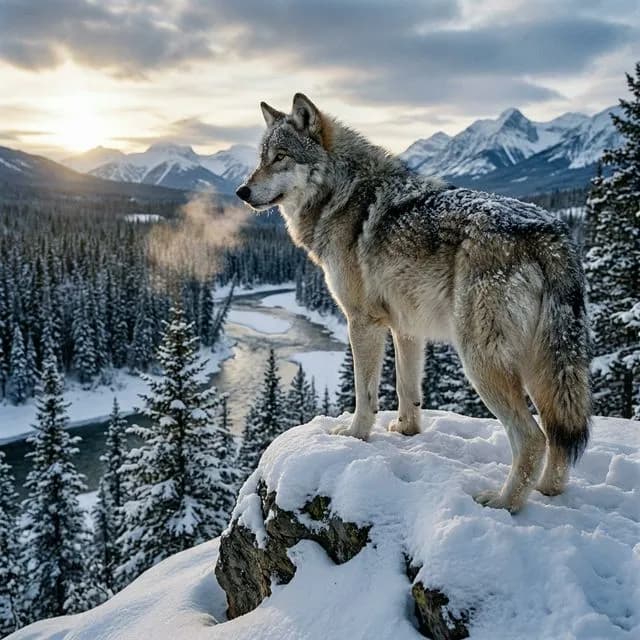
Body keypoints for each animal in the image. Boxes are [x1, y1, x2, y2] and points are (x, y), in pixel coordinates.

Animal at [236, 93, 591, 513]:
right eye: (261, 158)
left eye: (280, 157)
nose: (241, 191)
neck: (342, 194)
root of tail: (550, 234)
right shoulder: (406, 327)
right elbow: (407, 387)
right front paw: (407, 430)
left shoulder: (362, 322)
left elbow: (365, 393)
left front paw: (355, 434)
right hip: (542, 369)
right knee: (557, 434)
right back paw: (548, 492)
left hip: (481, 361)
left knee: (533, 437)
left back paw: (504, 502)